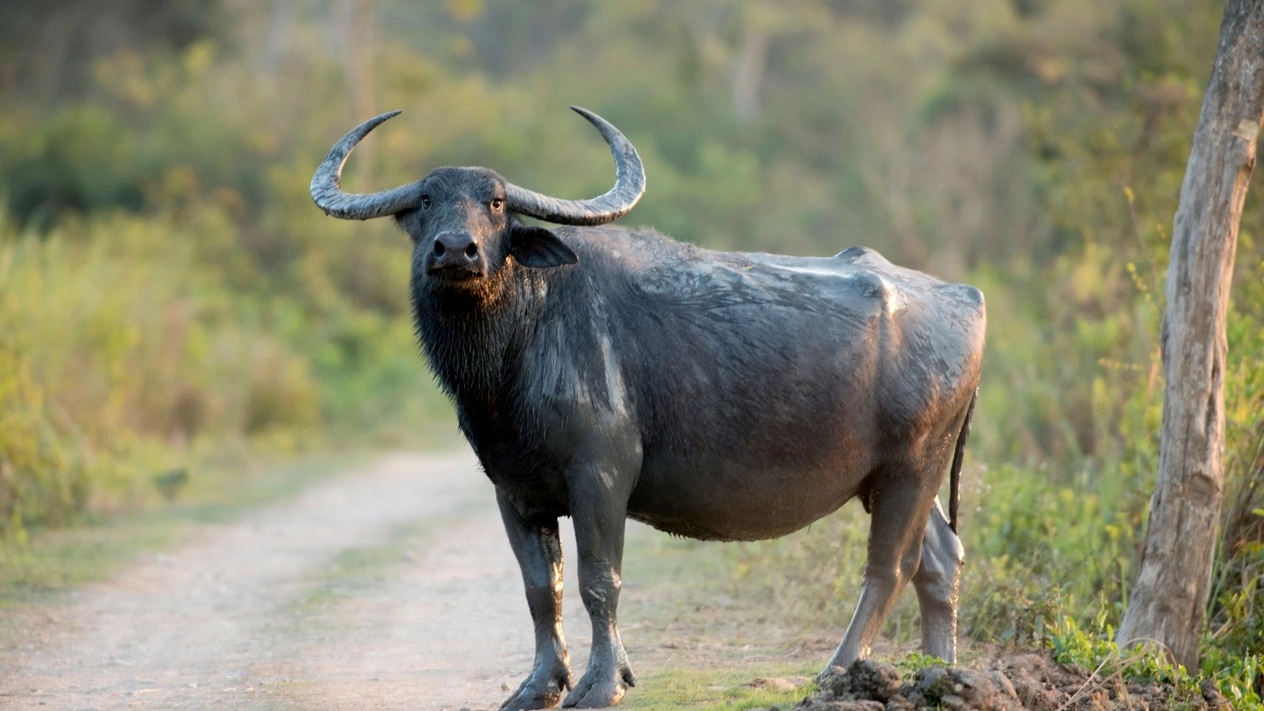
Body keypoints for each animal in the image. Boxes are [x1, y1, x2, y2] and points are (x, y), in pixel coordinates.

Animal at [311, 107, 985, 709]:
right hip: (895, 479)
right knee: (939, 560)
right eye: (426, 201)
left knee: (889, 567)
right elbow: (541, 589)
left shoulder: (601, 476)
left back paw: (837, 674)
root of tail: (964, 296)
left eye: (497, 203)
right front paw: (538, 687)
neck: (522, 339)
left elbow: (598, 580)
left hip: (912, 467)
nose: (457, 249)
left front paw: (601, 684)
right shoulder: (513, 490)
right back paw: (936, 675)